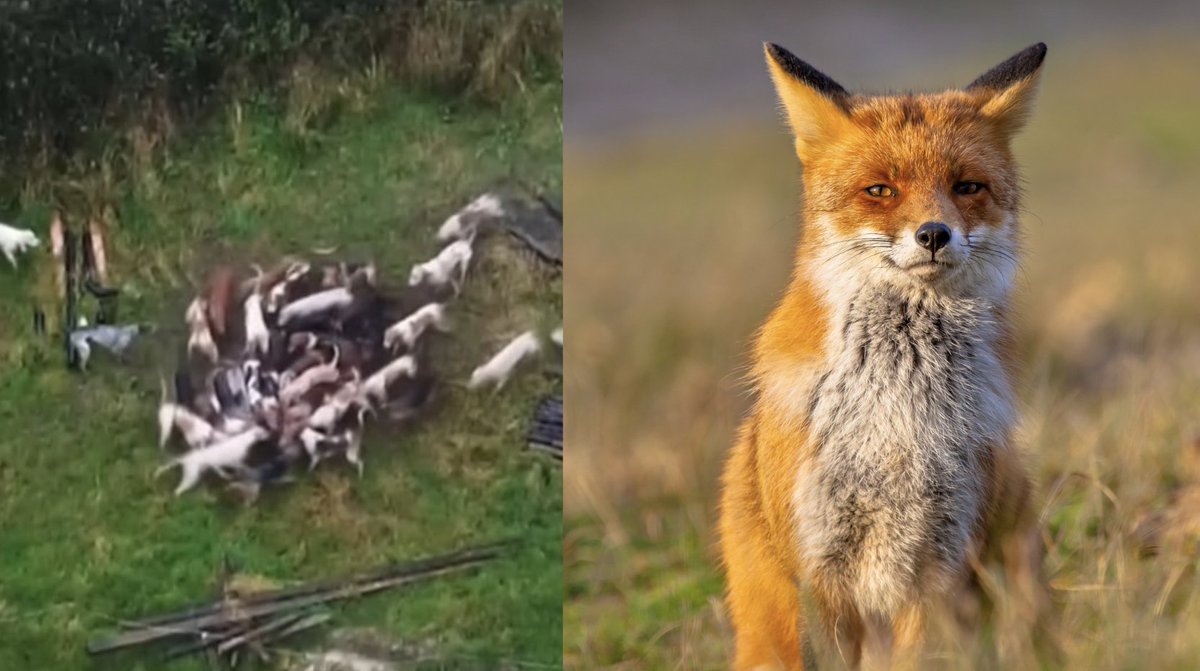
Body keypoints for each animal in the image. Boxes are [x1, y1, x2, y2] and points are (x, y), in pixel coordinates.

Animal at [717, 42, 1049, 670]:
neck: (898, 417)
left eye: (967, 187)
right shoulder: (816, 566)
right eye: (880, 190)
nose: (934, 234)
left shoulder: (944, 561)